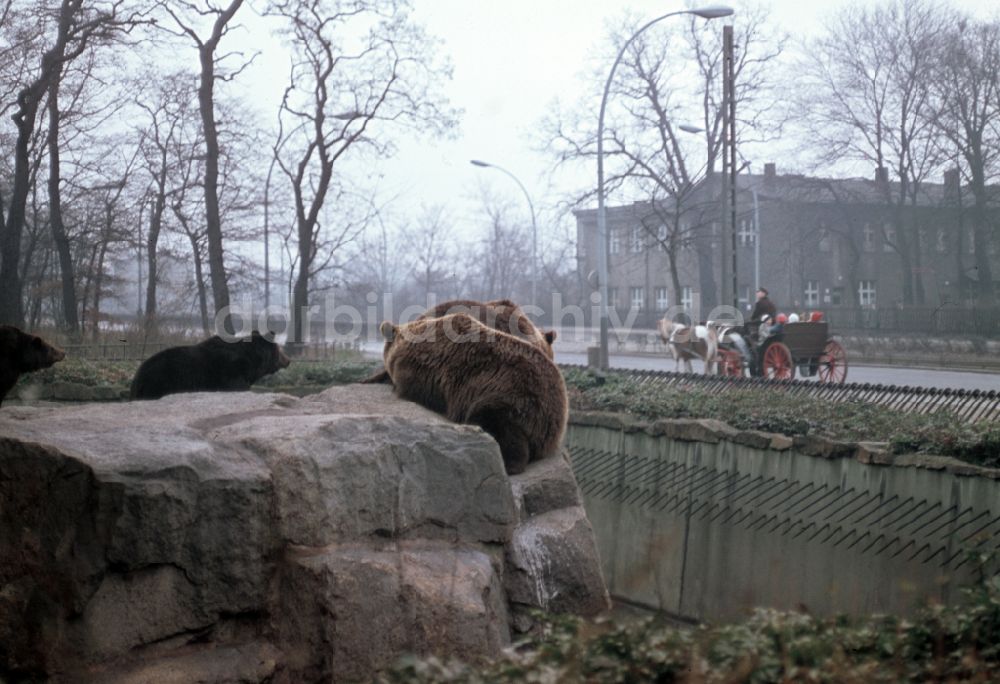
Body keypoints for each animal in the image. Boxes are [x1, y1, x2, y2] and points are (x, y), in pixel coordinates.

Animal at [131, 332, 292, 400]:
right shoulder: (231, 372)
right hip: (161, 381)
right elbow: (236, 386)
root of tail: (138, 375)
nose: (289, 360)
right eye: (280, 349)